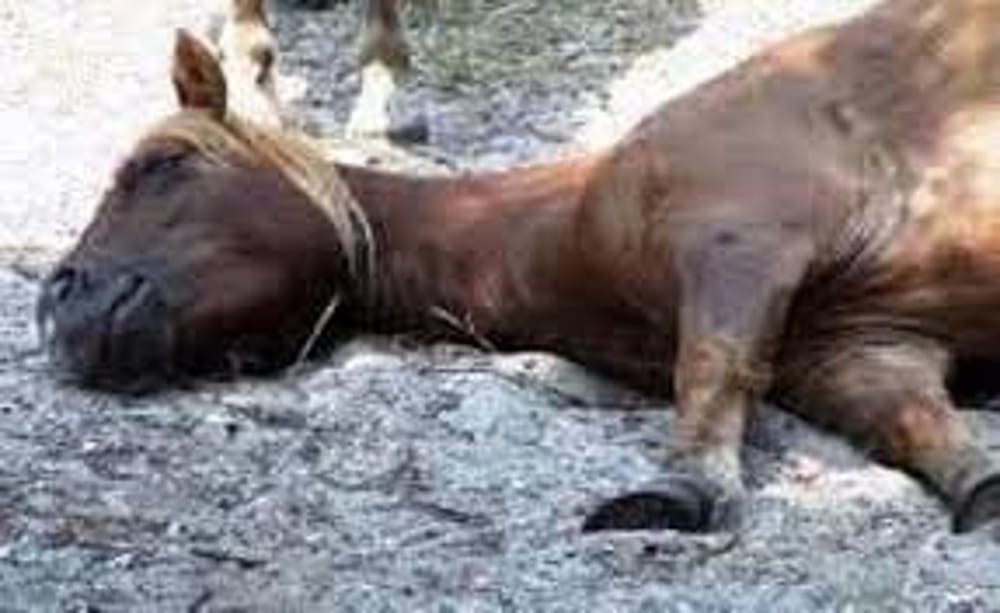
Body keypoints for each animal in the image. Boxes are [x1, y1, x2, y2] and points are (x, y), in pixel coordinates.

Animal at [37, 0, 1000, 535]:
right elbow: (918, 425)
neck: (565, 221)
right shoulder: (865, 348)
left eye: (159, 164)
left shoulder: (739, 241)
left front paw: (681, 487)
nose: (59, 299)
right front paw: (981, 483)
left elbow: (713, 370)